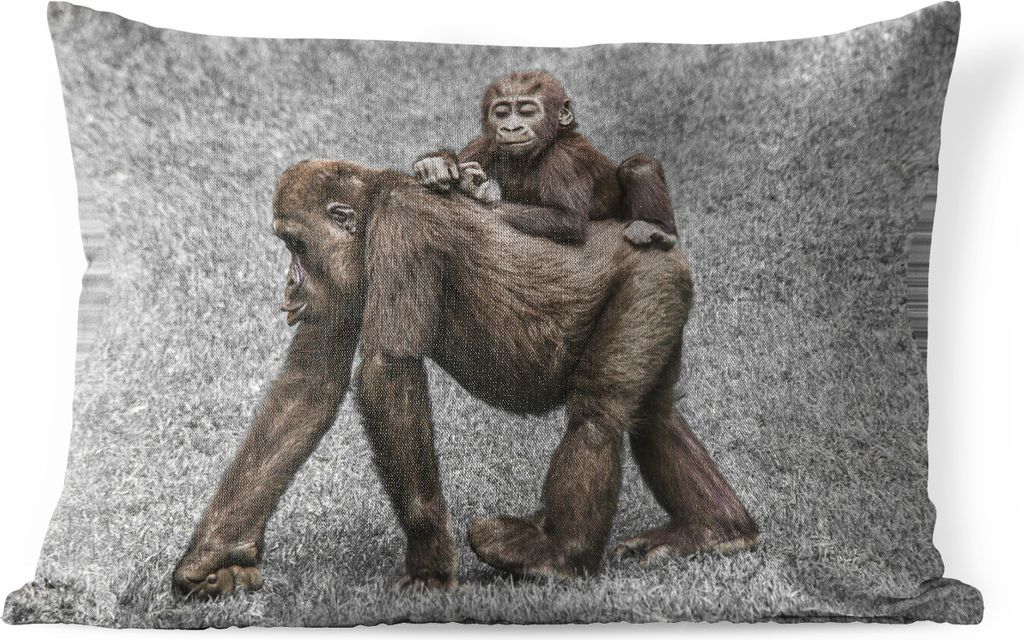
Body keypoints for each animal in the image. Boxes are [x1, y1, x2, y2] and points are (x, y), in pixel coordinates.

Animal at [172, 160, 758, 599]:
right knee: (653, 414)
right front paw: (213, 557)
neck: (373, 203)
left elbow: (388, 373)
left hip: (650, 276)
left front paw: (431, 563)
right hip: (665, 284)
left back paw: (558, 557)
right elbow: (307, 387)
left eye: (296, 245)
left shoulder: (401, 226)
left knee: (599, 415)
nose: (290, 287)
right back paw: (716, 530)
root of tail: (661, 237)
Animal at [414, 70, 678, 250]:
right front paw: (436, 164)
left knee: (637, 167)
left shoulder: (565, 159)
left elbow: (567, 219)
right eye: (501, 113)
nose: (511, 128)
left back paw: (658, 229)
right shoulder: (486, 143)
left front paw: (481, 196)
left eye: (527, 112)